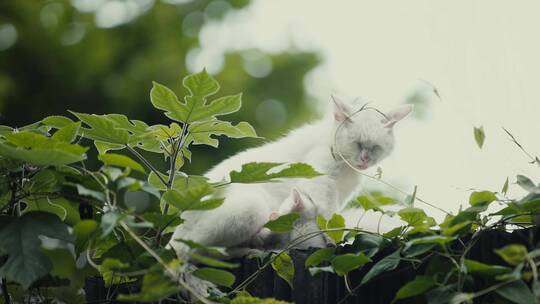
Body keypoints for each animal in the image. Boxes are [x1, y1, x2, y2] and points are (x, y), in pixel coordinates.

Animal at [170, 95, 414, 256]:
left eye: (375, 148)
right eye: (357, 144)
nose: (364, 159)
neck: (347, 170)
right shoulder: (320, 184)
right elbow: (328, 220)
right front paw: (333, 243)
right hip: (249, 207)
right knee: (195, 250)